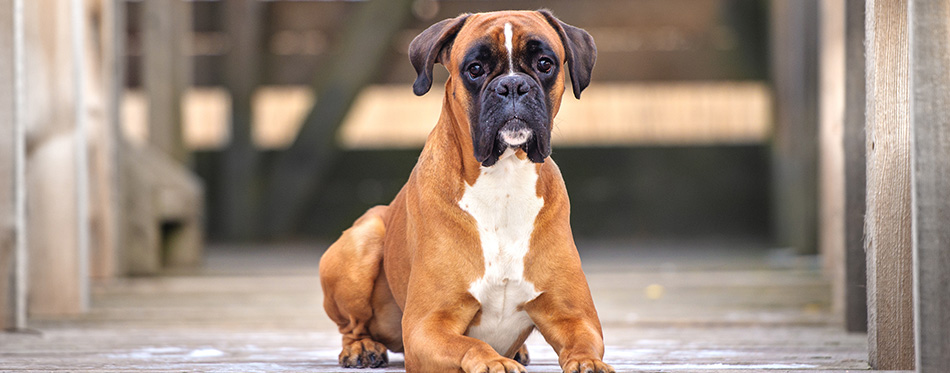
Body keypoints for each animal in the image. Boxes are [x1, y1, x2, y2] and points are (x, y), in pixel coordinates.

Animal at [320, 9, 612, 372]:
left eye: (545, 63)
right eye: (475, 69)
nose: (512, 84)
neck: (503, 180)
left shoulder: (575, 317)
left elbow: (584, 344)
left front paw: (588, 362)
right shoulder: (426, 327)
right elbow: (470, 345)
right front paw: (495, 362)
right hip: (364, 239)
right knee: (352, 325)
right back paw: (361, 347)